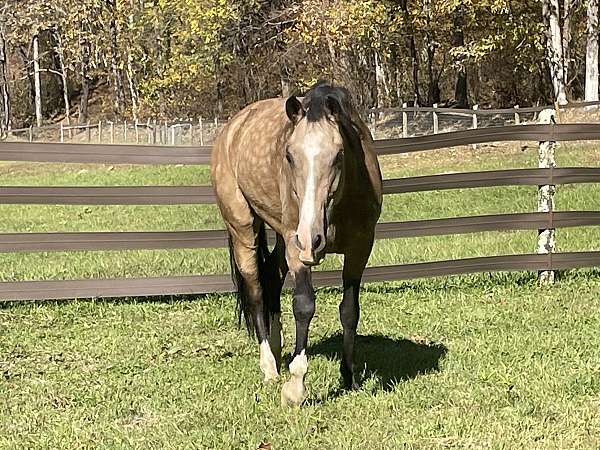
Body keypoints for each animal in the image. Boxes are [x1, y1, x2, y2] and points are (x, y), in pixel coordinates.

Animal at [209, 81, 382, 408]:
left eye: (338, 155)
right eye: (289, 155)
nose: (312, 237)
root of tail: (232, 127)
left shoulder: (360, 247)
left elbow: (349, 310)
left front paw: (349, 376)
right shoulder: (296, 248)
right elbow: (303, 306)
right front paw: (295, 386)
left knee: (273, 279)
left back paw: (278, 352)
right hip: (244, 230)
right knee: (256, 290)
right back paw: (269, 367)